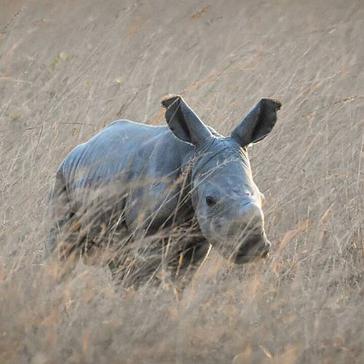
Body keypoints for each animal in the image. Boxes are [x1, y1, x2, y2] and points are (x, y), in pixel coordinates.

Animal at [47, 96, 282, 282]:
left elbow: (180, 280)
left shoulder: (197, 240)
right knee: (63, 249)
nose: (254, 248)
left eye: (262, 198)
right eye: (210, 200)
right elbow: (145, 274)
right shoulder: (148, 232)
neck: (192, 156)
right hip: (63, 178)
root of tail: (82, 146)